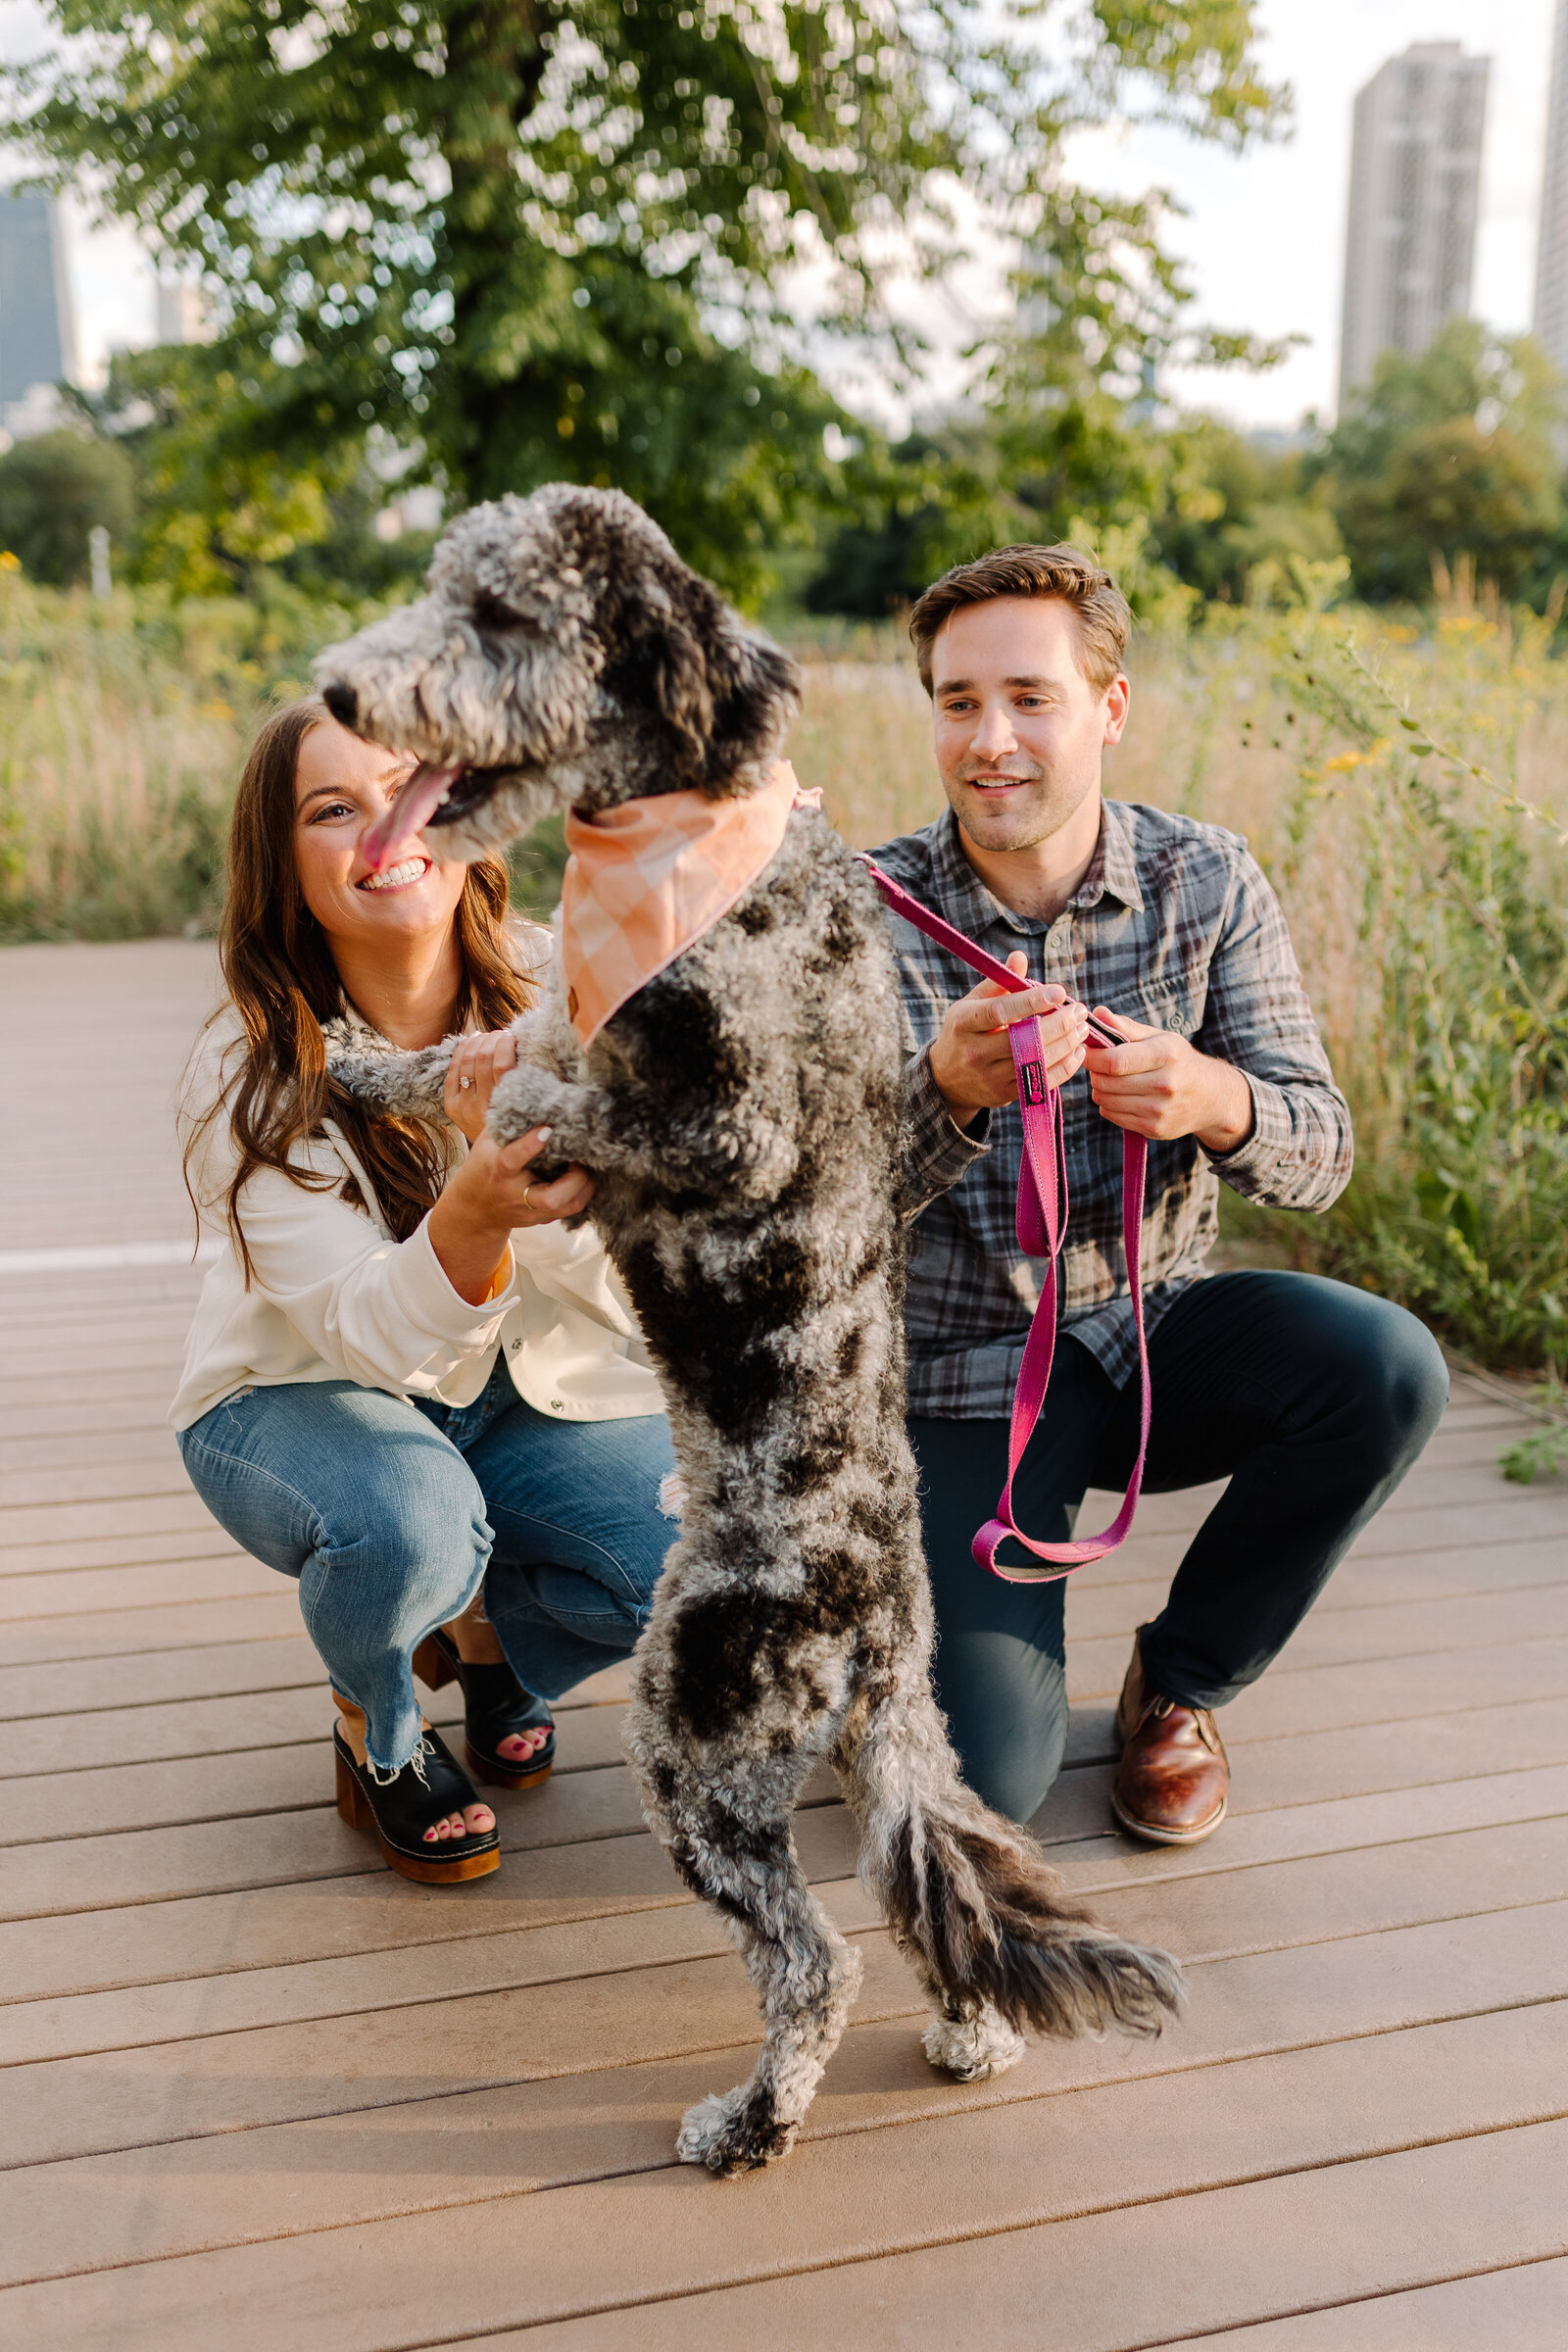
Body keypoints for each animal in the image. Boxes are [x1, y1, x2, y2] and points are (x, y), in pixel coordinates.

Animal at [313, 486, 1184, 2173]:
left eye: (502, 617)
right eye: (442, 583)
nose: (338, 691)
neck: (688, 836)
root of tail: (877, 1634)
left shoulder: (728, 1131)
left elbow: (535, 1085)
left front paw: (485, 1107)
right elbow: (476, 1042)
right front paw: (361, 1061)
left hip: (695, 1736)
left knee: (815, 1959)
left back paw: (751, 2124)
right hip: (883, 1755)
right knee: (925, 1886)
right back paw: (970, 2034)